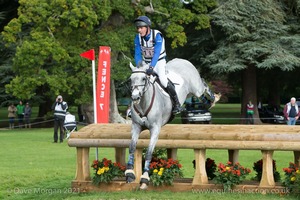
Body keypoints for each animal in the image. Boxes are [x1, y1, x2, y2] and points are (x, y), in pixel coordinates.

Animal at [124, 57, 220, 189]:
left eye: (144, 78)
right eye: (130, 80)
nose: (135, 97)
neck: (143, 103)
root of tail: (181, 60)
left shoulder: (155, 129)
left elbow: (148, 152)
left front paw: (144, 179)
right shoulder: (136, 126)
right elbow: (132, 147)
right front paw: (129, 174)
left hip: (196, 88)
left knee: (203, 86)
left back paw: (213, 99)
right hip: (190, 92)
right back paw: (207, 103)